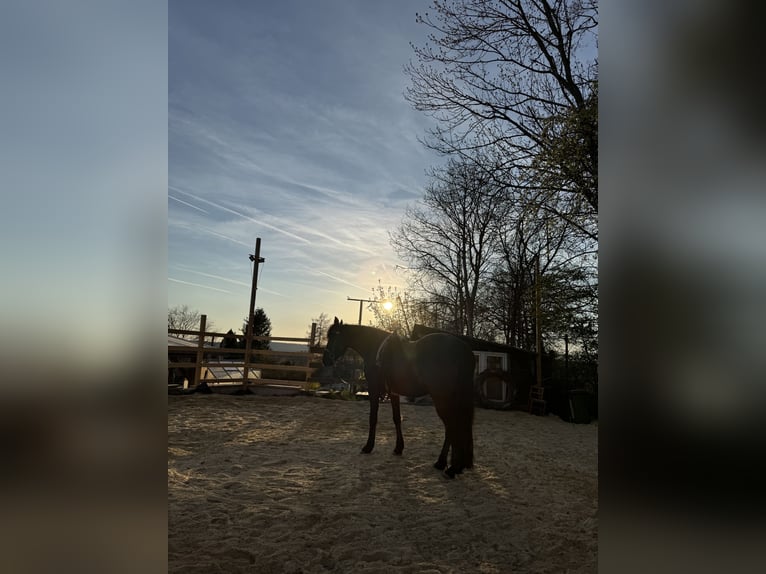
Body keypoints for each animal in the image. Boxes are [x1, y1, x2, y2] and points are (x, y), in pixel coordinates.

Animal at [323, 317, 476, 478]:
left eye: (334, 336)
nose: (325, 360)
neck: (375, 348)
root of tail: (464, 350)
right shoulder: (393, 393)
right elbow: (397, 418)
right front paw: (398, 448)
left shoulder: (374, 390)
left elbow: (373, 418)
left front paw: (368, 446)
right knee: (453, 427)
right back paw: (447, 464)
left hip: (442, 397)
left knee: (452, 426)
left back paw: (451, 467)